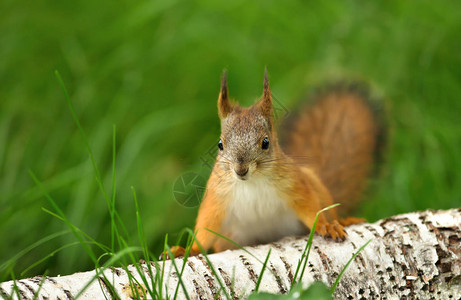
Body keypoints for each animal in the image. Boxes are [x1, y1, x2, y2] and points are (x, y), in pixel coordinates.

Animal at [169, 69, 380, 255]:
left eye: (265, 142)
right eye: (220, 144)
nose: (240, 170)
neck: (252, 183)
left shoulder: (295, 185)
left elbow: (311, 208)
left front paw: (325, 226)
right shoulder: (217, 197)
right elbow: (206, 227)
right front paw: (187, 250)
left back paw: (343, 222)